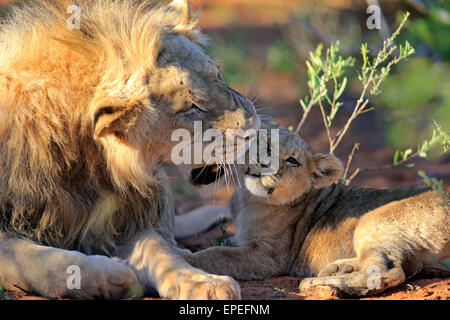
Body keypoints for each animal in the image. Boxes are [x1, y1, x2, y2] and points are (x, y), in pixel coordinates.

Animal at [0, 0, 260, 300]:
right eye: (192, 106)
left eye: (219, 76)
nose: (254, 127)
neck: (82, 161)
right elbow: (42, 260)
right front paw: (113, 276)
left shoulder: (129, 219)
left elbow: (161, 251)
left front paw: (203, 282)